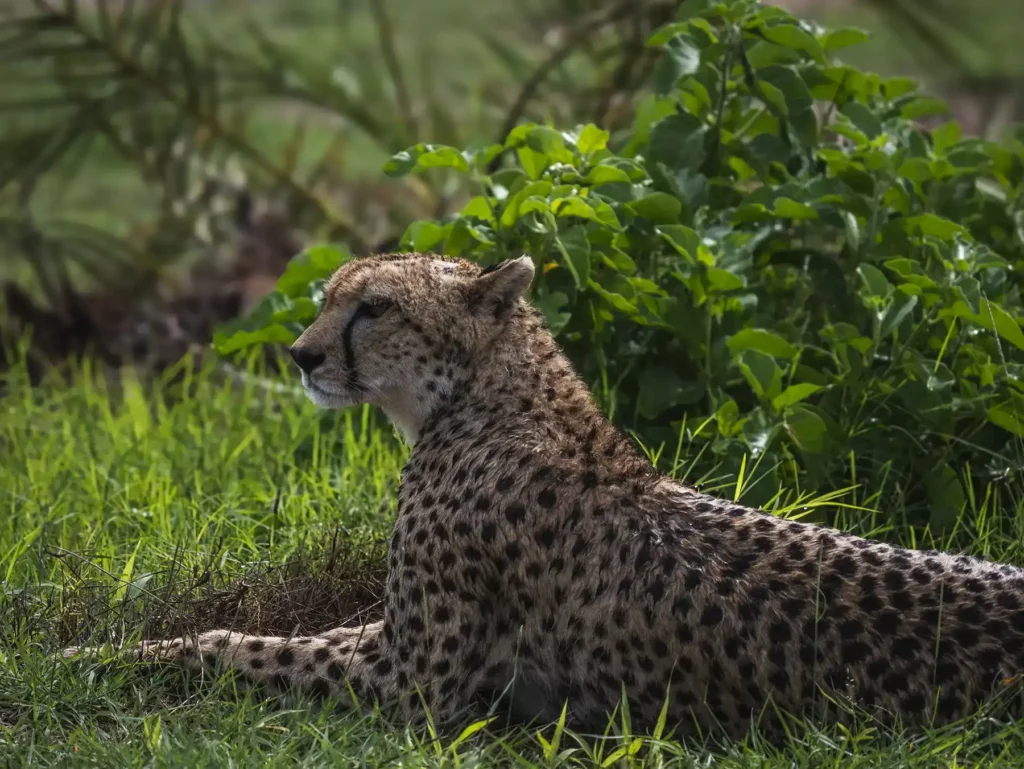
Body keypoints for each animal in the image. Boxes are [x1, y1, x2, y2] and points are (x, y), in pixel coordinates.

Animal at [64, 252, 1024, 739]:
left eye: (375, 307)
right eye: (329, 297)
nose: (301, 356)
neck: (486, 399)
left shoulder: (412, 681)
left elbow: (238, 646)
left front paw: (100, 657)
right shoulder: (395, 642)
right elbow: (270, 629)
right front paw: (116, 643)